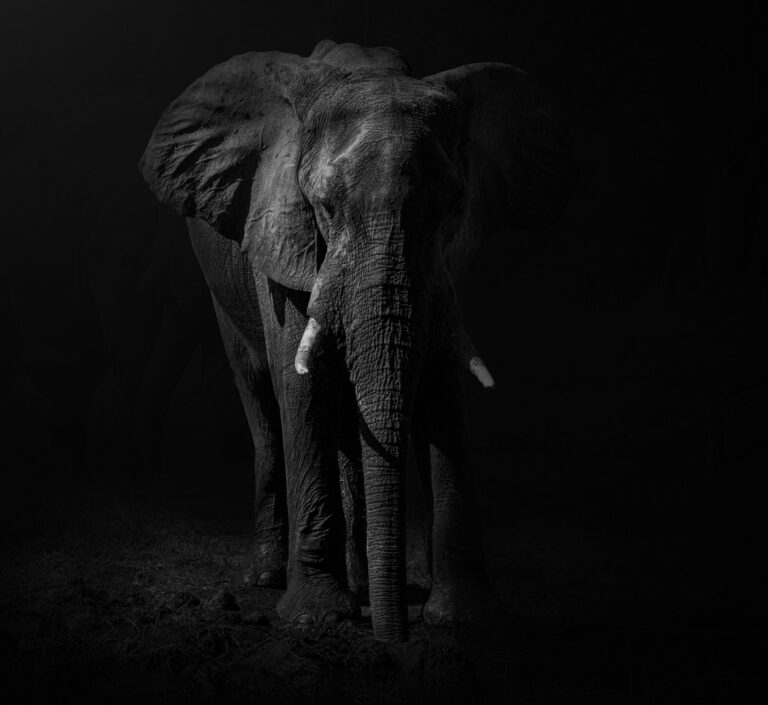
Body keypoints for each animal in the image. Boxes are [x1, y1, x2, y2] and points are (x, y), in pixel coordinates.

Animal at [140, 39, 576, 642]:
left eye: (452, 210)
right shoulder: (282, 232)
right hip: (216, 286)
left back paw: (366, 584)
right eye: (323, 207)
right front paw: (316, 618)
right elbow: (300, 387)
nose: (395, 639)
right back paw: (271, 578)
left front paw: (463, 619)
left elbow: (441, 388)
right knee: (262, 400)